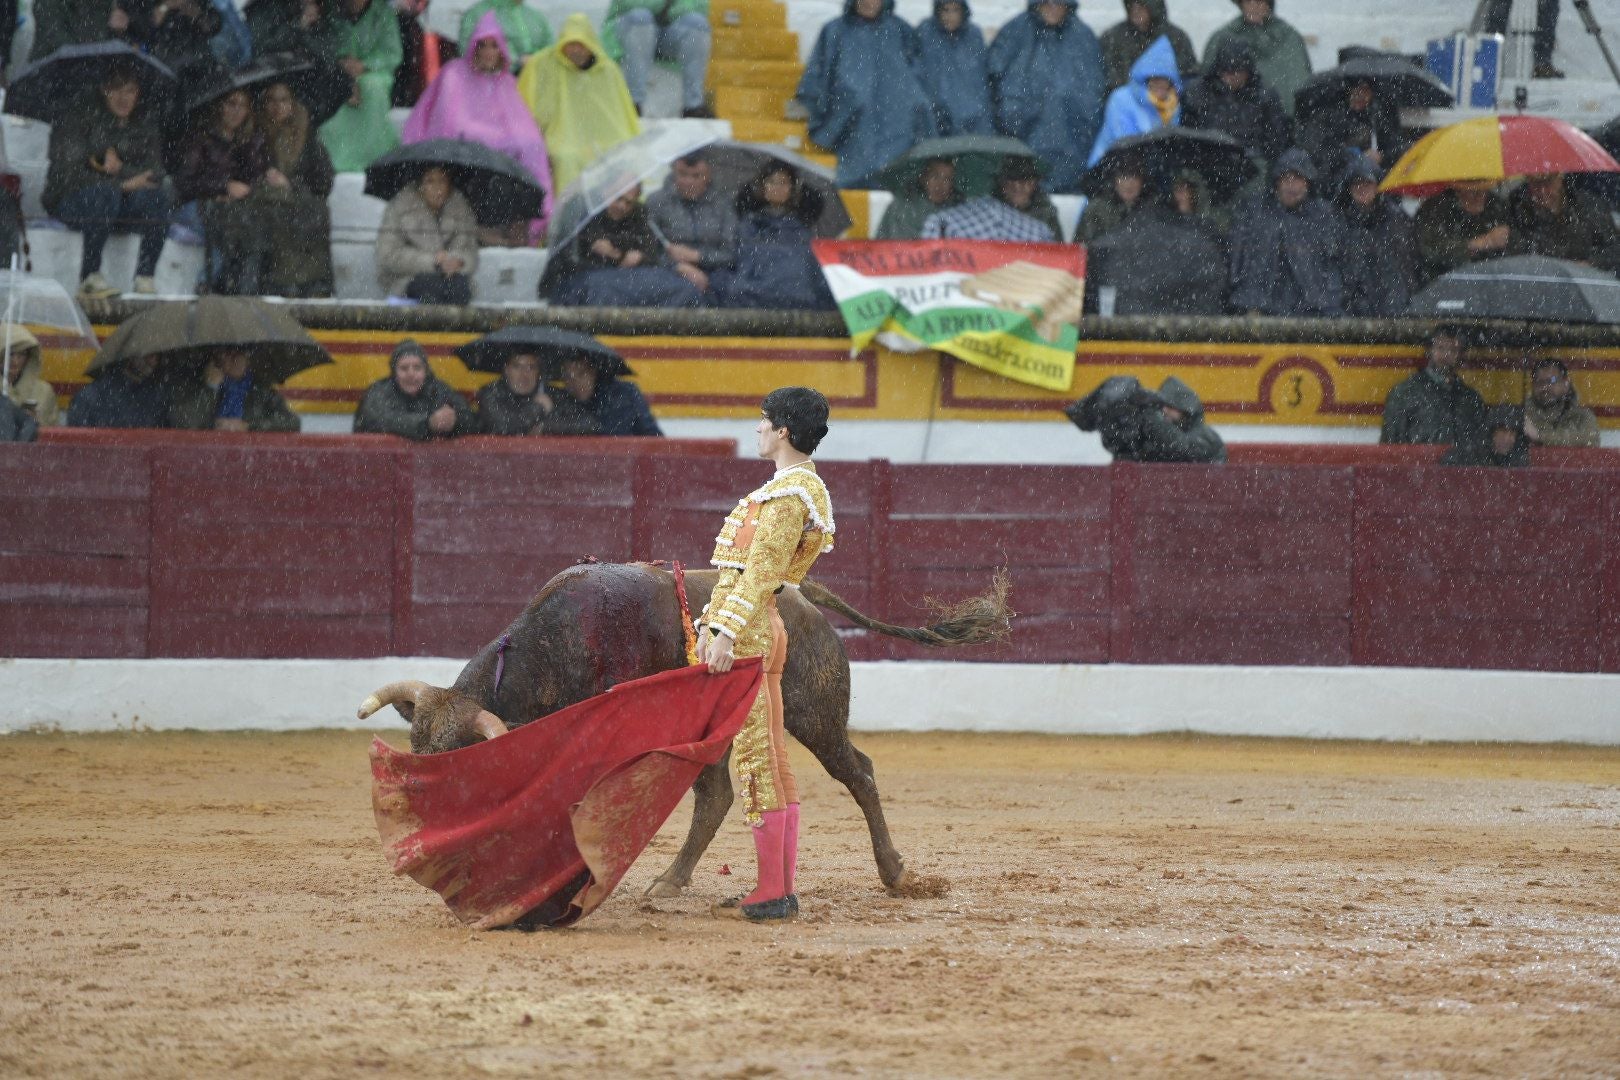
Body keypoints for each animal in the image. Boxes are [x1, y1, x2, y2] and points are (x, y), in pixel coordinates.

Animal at [361, 557, 1004, 893]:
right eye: (416, 748)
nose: (420, 835)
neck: (557, 647)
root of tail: (800, 597)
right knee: (716, 795)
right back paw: (671, 880)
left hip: (815, 714)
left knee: (859, 772)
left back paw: (894, 871)